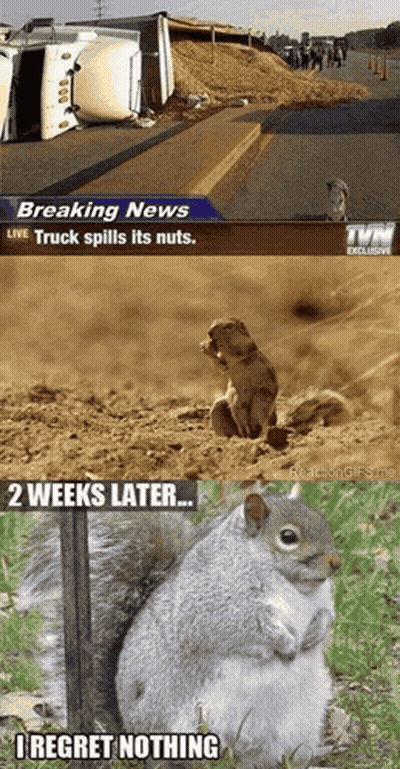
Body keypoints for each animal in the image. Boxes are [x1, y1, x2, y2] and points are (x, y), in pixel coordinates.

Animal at [17, 484, 341, 769]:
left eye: (323, 520)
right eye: (288, 537)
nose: (336, 562)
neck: (294, 585)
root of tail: (131, 739)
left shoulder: (321, 601)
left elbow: (326, 615)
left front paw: (315, 634)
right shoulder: (215, 608)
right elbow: (248, 629)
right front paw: (286, 644)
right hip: (188, 728)